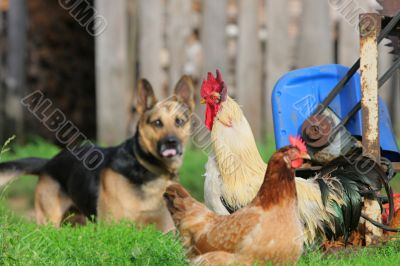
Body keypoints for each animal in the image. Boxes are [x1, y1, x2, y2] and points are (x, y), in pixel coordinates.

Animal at [0, 75, 195, 231]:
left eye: (179, 122)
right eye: (157, 123)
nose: (171, 142)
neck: (146, 167)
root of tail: (49, 163)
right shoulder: (114, 227)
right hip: (49, 221)